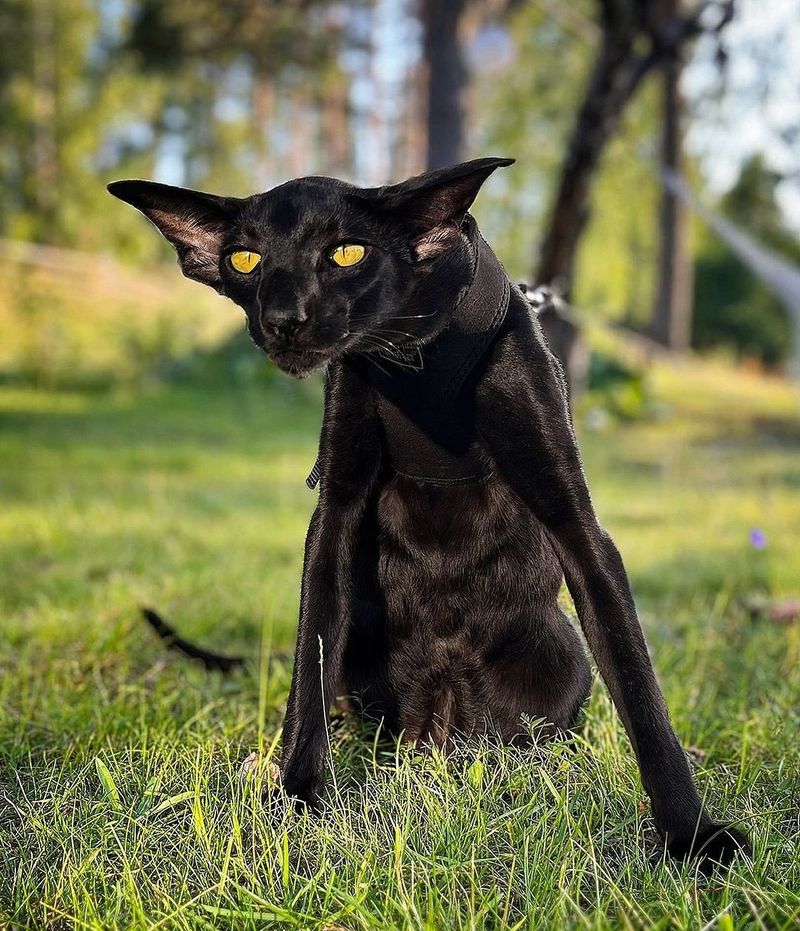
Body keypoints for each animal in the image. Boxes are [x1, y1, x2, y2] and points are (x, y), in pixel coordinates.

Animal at [109, 158, 752, 868]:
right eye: (244, 259)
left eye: (347, 252)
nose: (284, 319)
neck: (415, 353)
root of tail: (441, 725)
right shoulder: (335, 508)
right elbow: (309, 664)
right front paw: (297, 800)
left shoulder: (572, 515)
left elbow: (638, 683)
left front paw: (692, 836)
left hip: (559, 657)